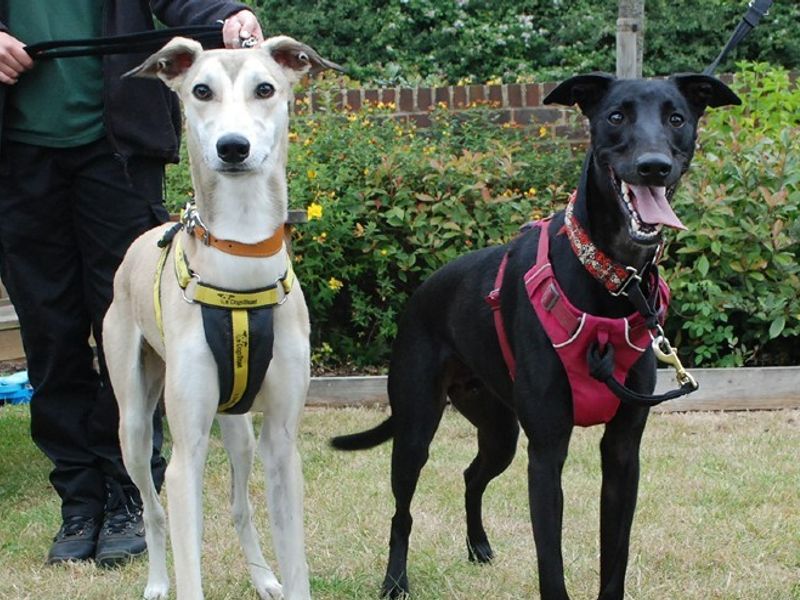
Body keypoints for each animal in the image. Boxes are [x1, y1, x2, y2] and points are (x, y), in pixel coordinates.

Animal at [104, 37, 340, 600]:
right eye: (201, 90)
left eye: (266, 88)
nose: (233, 147)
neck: (241, 261)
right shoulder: (185, 455)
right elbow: (187, 556)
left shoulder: (282, 443)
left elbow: (295, 561)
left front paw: (280, 577)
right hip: (134, 423)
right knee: (153, 510)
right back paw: (156, 582)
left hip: (239, 428)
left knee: (239, 506)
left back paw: (263, 576)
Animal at [330, 75, 736, 600]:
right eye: (616, 116)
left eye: (677, 118)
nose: (653, 166)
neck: (609, 279)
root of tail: (421, 292)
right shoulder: (546, 452)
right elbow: (551, 564)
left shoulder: (623, 452)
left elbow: (616, 557)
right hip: (417, 424)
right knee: (403, 510)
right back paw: (395, 580)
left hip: (499, 429)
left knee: (472, 475)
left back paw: (478, 546)